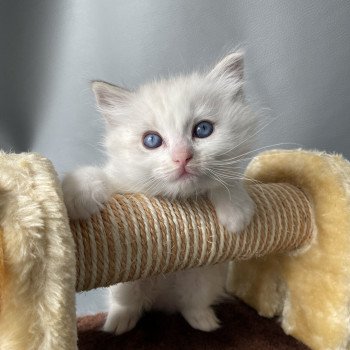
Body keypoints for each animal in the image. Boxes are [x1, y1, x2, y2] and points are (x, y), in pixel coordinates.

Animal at [62, 51, 258, 334]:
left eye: (203, 129)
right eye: (151, 140)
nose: (182, 157)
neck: (176, 198)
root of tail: (165, 302)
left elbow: (225, 182)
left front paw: (236, 213)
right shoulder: (122, 182)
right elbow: (99, 175)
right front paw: (77, 197)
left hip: (204, 276)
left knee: (193, 303)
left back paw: (204, 322)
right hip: (128, 282)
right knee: (128, 302)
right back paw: (117, 324)